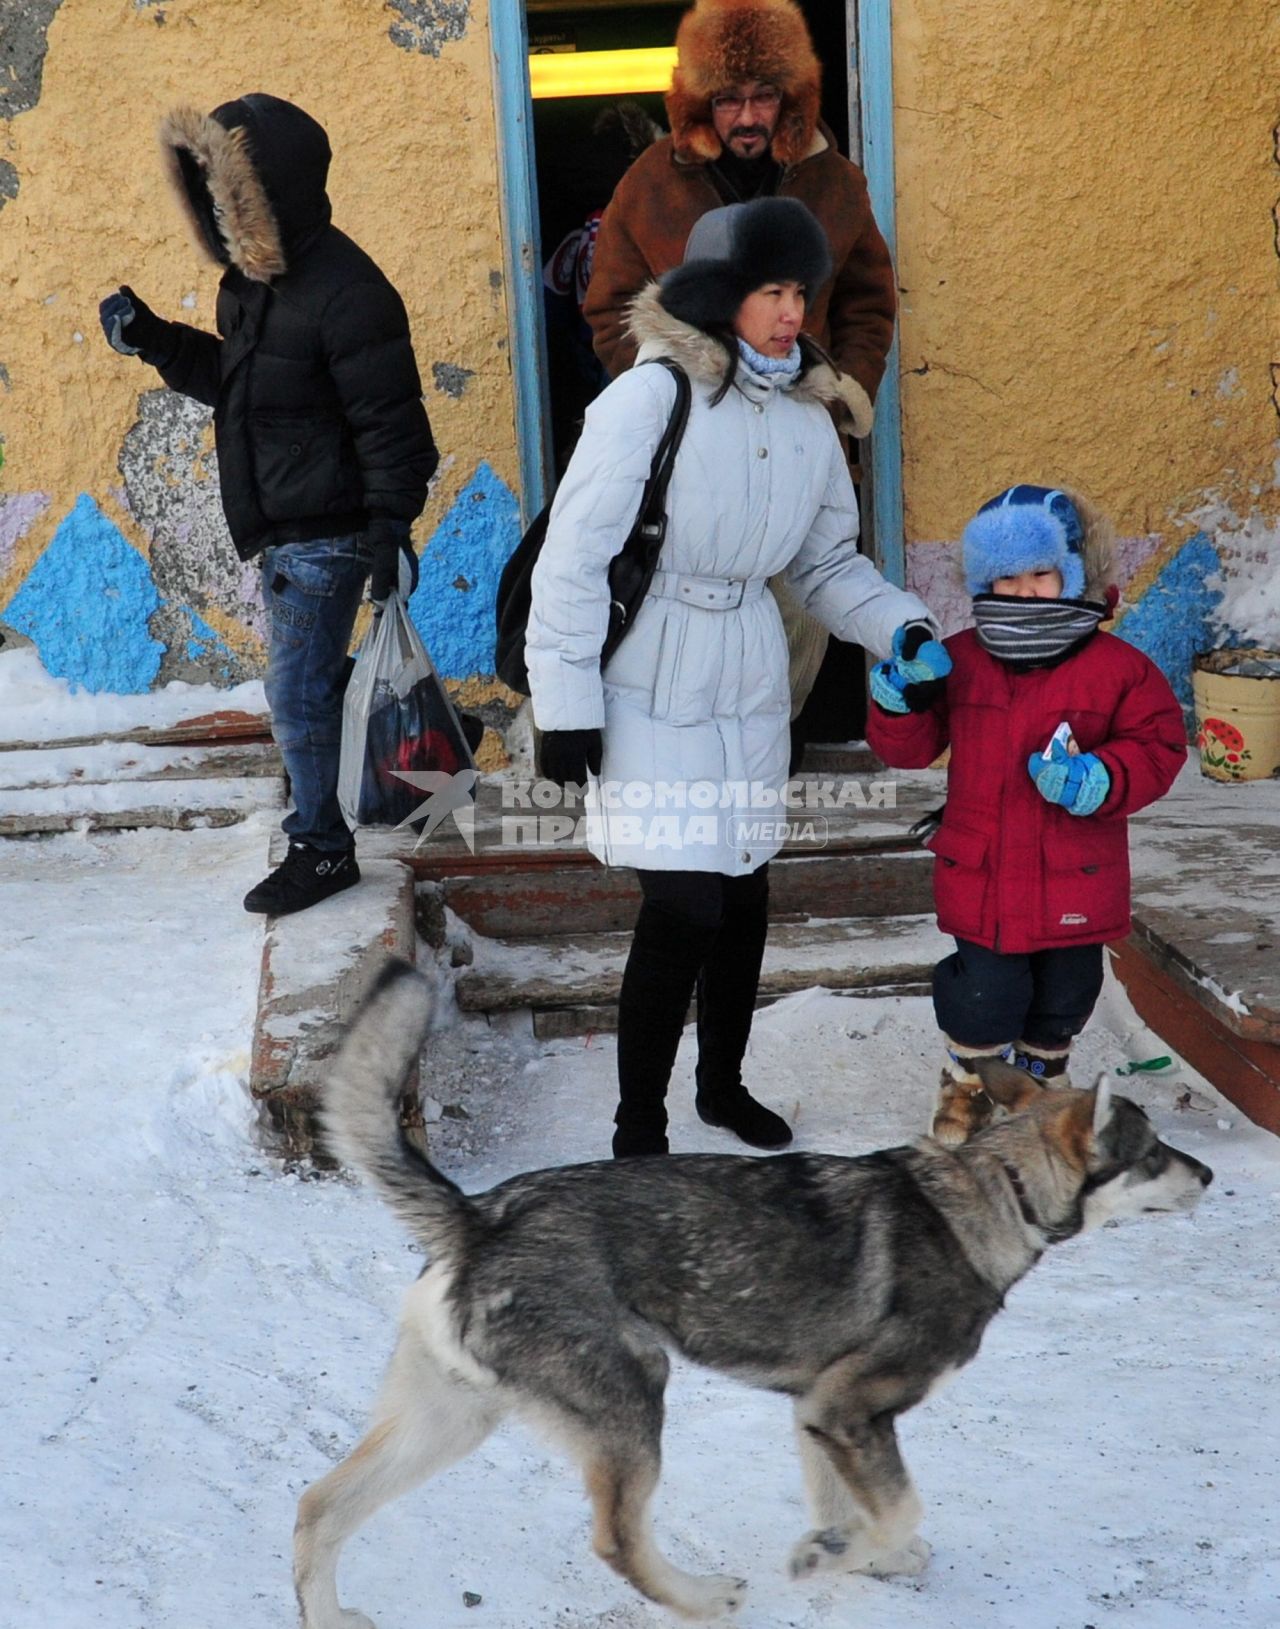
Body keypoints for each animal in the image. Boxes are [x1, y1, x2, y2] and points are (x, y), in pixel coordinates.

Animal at [294, 957, 1211, 1622]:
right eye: (1154, 1151)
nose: (1206, 1174)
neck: (992, 1192)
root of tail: (477, 1216)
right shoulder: (851, 1406)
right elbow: (899, 1507)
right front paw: (831, 1554)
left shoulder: (821, 1412)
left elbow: (862, 1504)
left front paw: (860, 1551)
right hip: (630, 1397)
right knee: (617, 1540)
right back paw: (700, 1597)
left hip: (451, 1419)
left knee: (318, 1507)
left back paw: (330, 1618)